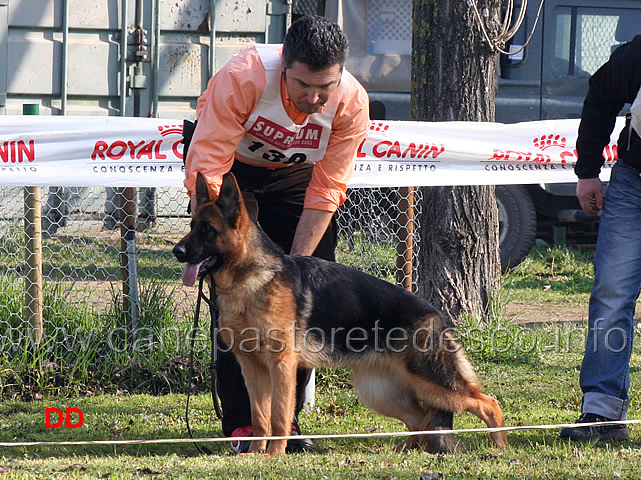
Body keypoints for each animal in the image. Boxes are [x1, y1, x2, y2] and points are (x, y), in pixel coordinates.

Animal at [172, 172, 508, 454]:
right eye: (191, 226)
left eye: (207, 229)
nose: (177, 251)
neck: (252, 276)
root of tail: (437, 316)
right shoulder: (251, 368)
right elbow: (260, 418)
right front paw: (256, 454)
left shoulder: (281, 366)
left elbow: (279, 416)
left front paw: (274, 455)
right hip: (381, 392)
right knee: (420, 419)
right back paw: (402, 450)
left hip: (432, 380)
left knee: (488, 404)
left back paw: (500, 449)